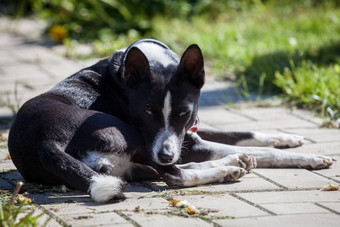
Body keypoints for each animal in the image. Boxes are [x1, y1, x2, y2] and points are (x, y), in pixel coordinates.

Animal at [7, 38, 334, 202]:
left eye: (183, 113)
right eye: (147, 112)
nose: (165, 154)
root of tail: (43, 142)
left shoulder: (189, 133)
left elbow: (245, 133)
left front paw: (287, 138)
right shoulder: (182, 142)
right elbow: (260, 150)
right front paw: (311, 157)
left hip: (129, 164)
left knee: (163, 171)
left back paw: (230, 166)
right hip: (125, 134)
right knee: (173, 175)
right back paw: (229, 166)